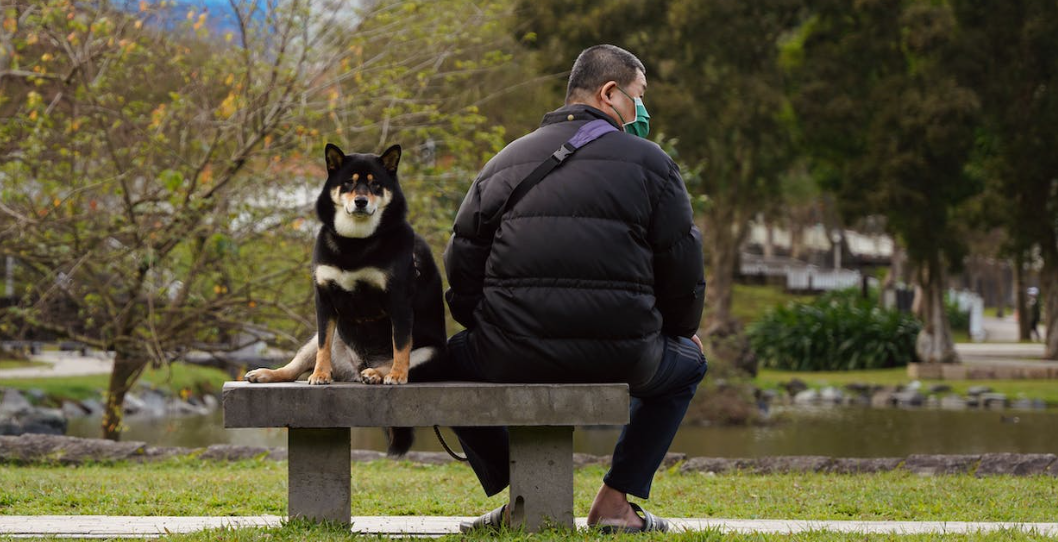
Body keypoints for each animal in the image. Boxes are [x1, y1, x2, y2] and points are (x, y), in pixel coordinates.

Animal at [244, 142, 446, 453]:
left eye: (375, 185)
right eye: (348, 183)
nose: (361, 201)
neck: (355, 242)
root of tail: (355, 367)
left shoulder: (399, 301)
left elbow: (401, 344)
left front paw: (398, 375)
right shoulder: (324, 300)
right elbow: (323, 348)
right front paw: (320, 375)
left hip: (430, 352)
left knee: (398, 357)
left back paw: (378, 373)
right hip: (316, 340)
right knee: (296, 366)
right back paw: (269, 374)